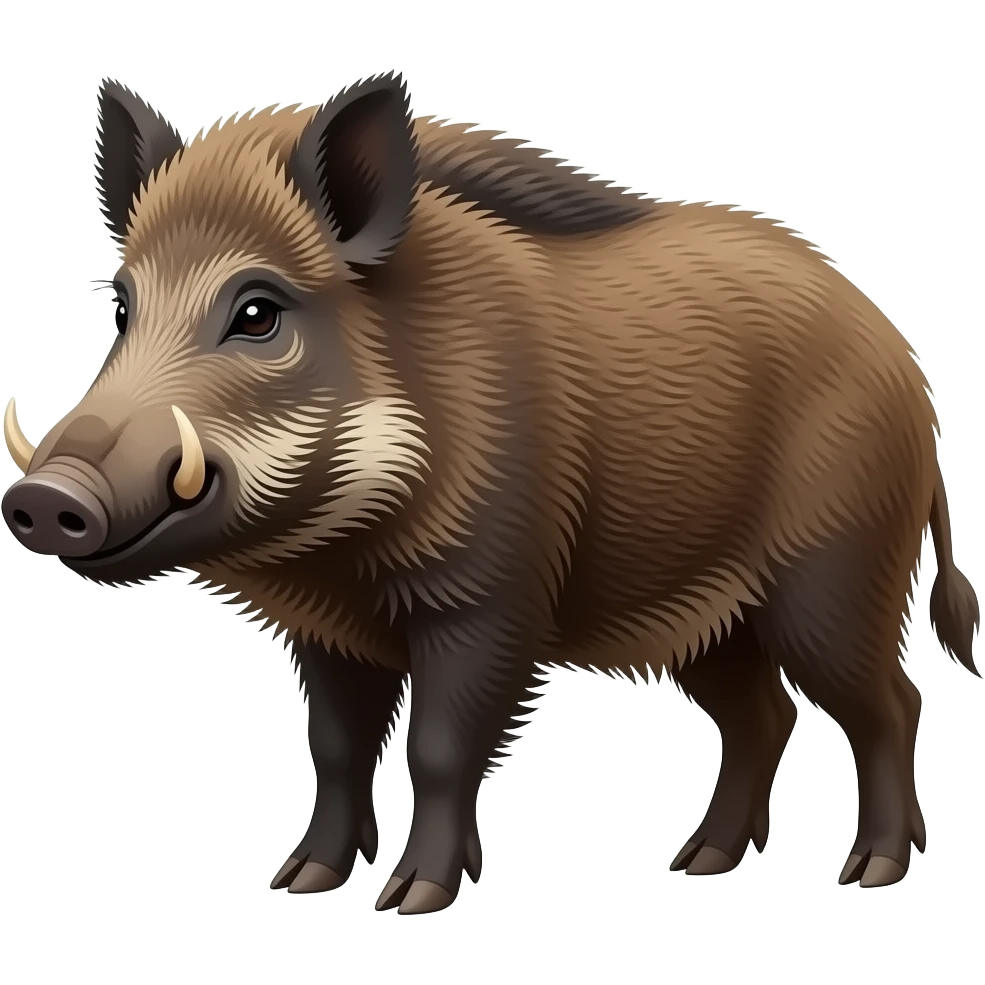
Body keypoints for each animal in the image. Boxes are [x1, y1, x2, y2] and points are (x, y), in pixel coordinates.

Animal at [2, 72, 981, 913]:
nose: (45, 498)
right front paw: (302, 881)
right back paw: (696, 862)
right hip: (710, 618)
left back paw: (868, 872)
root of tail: (909, 372)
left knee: (890, 703)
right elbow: (337, 747)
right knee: (763, 714)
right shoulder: (327, 633)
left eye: (257, 311)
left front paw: (413, 899)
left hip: (836, 578)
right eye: (123, 308)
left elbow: (438, 748)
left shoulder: (488, 600)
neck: (337, 552)